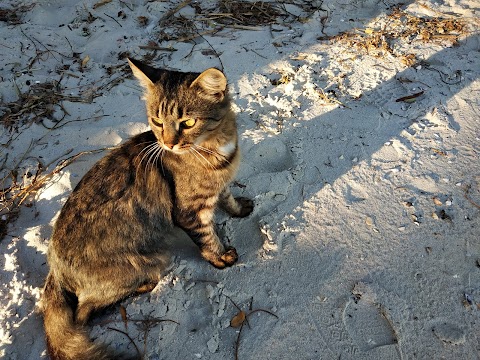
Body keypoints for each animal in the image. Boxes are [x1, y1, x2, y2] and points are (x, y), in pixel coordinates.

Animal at [40, 59, 255, 360]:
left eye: (188, 122)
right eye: (157, 122)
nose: (168, 143)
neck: (215, 148)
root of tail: (55, 269)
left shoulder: (220, 186)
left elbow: (228, 198)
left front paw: (238, 208)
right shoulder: (189, 211)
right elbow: (207, 238)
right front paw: (220, 257)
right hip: (150, 260)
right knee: (83, 311)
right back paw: (143, 285)